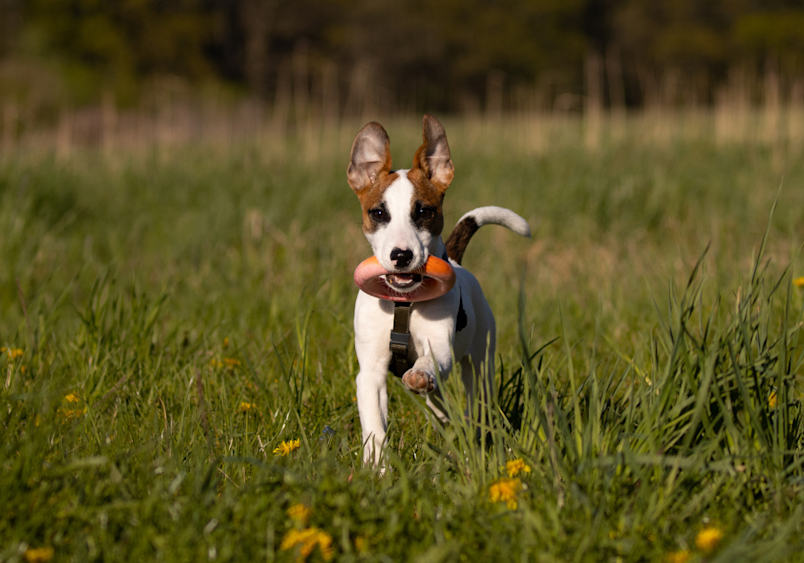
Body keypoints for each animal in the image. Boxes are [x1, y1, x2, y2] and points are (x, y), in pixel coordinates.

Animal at [348, 115, 532, 468]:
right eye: (378, 213)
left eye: (424, 211)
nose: (401, 256)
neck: (403, 304)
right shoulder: (370, 372)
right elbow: (375, 426)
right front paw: (377, 468)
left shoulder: (440, 348)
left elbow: (429, 364)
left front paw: (420, 375)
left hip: (480, 362)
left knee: (473, 399)